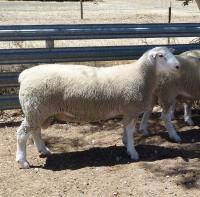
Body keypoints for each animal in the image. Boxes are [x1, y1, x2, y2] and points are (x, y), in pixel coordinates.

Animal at [16, 47, 180, 169]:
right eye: (160, 56)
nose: (178, 66)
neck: (141, 75)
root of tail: (24, 75)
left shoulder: (127, 110)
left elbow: (125, 128)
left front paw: (126, 143)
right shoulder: (131, 108)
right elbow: (130, 130)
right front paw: (133, 152)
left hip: (38, 111)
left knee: (35, 131)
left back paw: (43, 150)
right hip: (36, 109)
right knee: (22, 134)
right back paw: (23, 161)